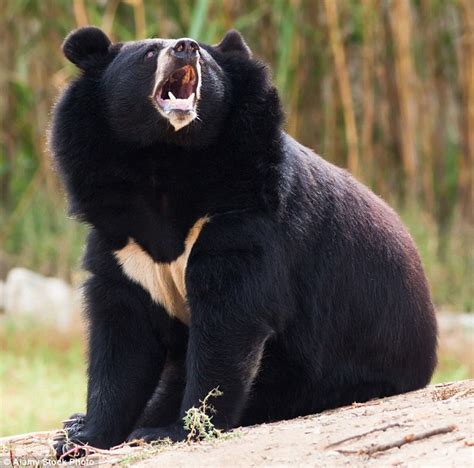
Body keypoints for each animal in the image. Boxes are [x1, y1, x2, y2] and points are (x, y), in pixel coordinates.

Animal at [51, 26, 436, 458]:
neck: (165, 160)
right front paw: (81, 438)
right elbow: (123, 338)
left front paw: (173, 430)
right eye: (149, 53)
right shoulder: (122, 242)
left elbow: (229, 321)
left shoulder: (245, 216)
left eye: (204, 56)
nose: (186, 47)